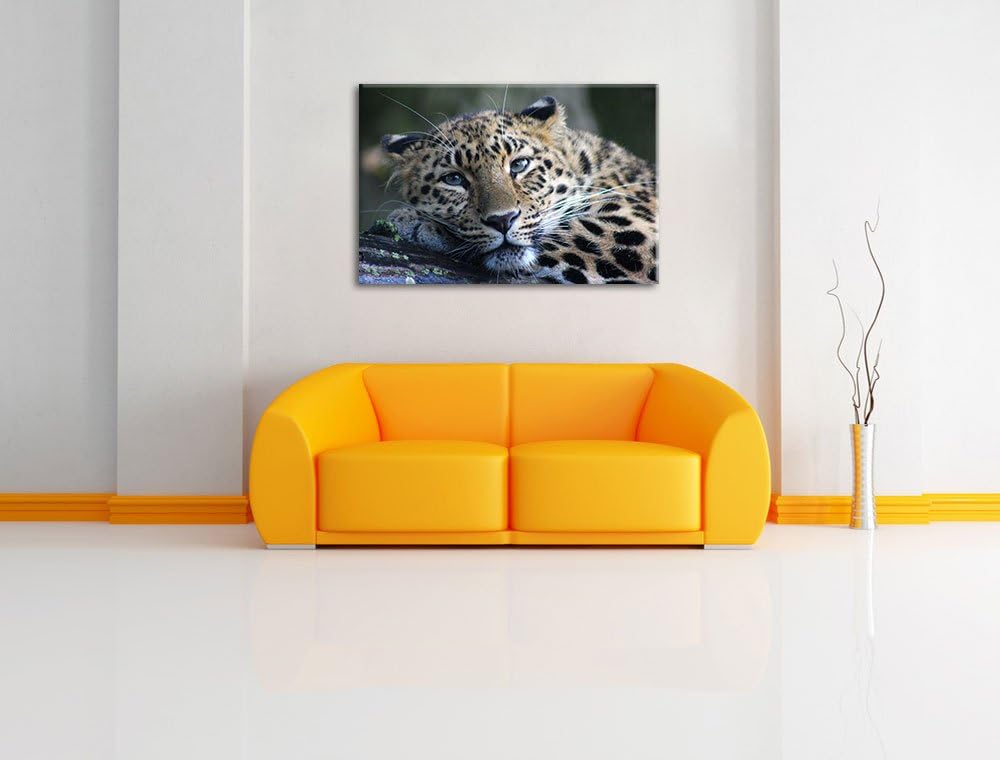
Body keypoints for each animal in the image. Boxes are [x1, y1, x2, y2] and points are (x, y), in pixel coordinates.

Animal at [380, 96, 657, 284]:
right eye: (454, 179)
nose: (502, 220)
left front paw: (415, 222)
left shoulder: (636, 230)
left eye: (519, 165)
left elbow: (564, 234)